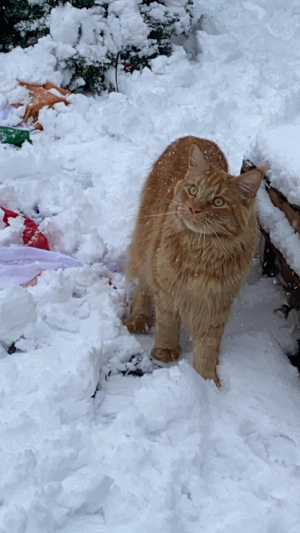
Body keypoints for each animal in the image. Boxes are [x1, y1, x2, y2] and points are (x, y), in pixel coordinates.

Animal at [124, 135, 262, 384]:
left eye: (218, 202)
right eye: (193, 190)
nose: (193, 208)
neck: (201, 251)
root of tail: (194, 137)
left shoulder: (216, 303)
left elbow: (208, 346)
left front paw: (207, 379)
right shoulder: (167, 287)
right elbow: (167, 323)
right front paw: (165, 351)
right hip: (147, 243)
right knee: (143, 286)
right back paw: (138, 317)